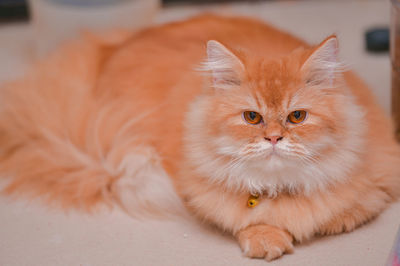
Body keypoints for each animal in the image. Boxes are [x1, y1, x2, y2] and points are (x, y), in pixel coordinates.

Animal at [0, 14, 400, 260]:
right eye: (252, 117)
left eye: (297, 117)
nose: (273, 139)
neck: (279, 187)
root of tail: (110, 48)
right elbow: (246, 220)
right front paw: (265, 237)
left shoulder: (380, 177)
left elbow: (354, 206)